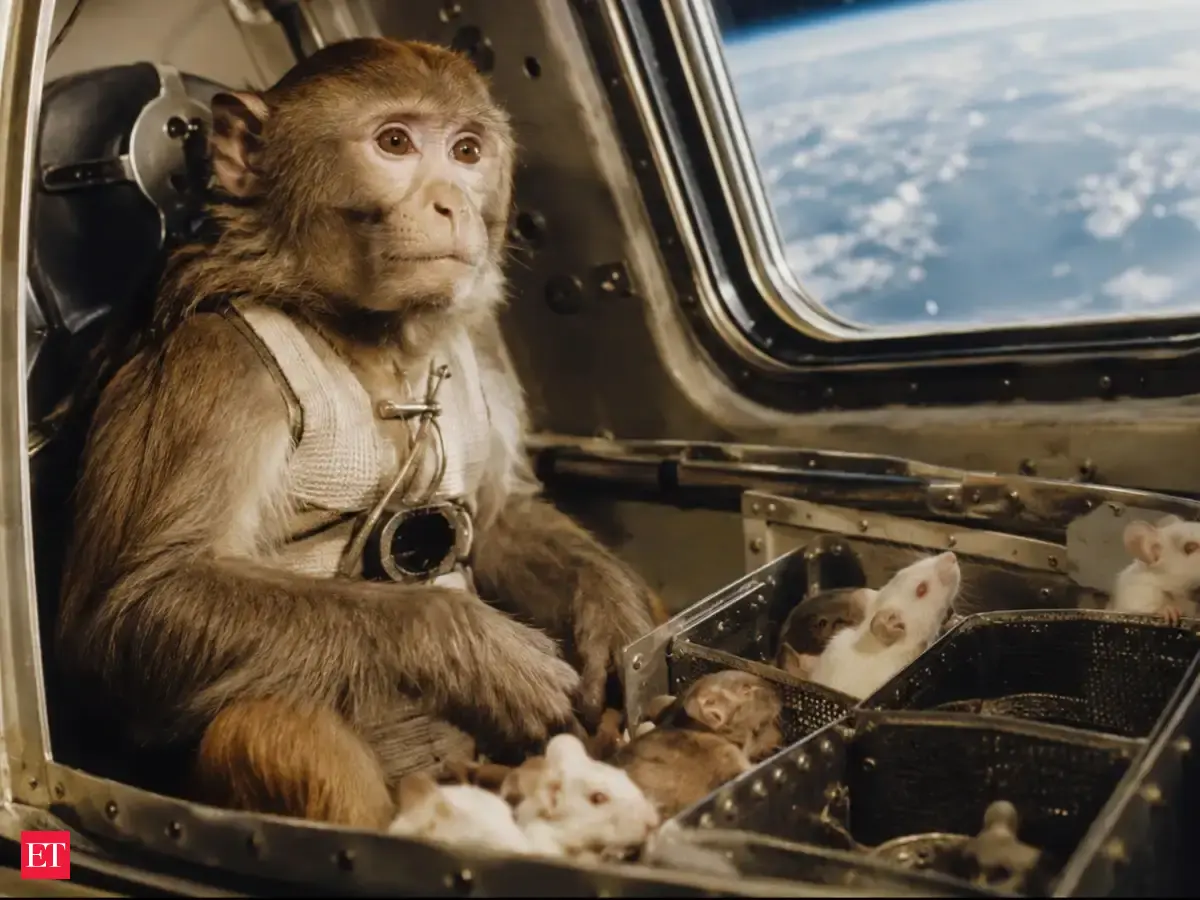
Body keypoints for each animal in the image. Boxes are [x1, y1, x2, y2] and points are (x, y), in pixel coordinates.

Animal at [54, 37, 667, 830]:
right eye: (395, 143)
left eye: (467, 151)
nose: (453, 203)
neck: (370, 338)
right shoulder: (212, 370)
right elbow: (136, 607)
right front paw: (478, 649)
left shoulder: (477, 342)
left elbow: (499, 517)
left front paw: (611, 619)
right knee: (276, 727)